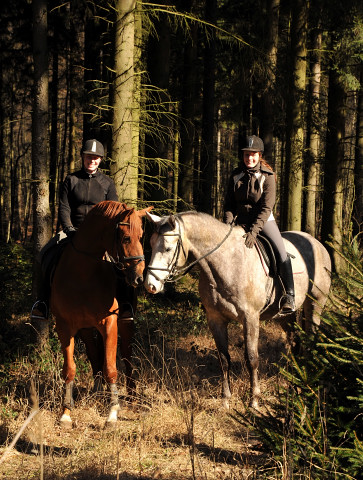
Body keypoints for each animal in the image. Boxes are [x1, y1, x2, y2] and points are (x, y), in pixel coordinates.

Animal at [51, 201, 152, 426]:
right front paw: (65, 412)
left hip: (126, 324)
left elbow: (111, 368)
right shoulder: (65, 327)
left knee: (127, 356)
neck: (83, 274)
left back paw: (131, 396)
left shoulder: (109, 324)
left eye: (141, 236)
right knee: (94, 355)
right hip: (86, 330)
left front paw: (112, 413)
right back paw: (98, 392)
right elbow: (69, 369)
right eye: (126, 238)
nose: (139, 278)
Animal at [144, 213, 332, 408]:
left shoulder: (250, 318)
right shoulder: (215, 319)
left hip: (315, 304)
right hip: (284, 315)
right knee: (295, 342)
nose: (151, 285)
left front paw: (254, 400)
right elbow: (224, 359)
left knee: (311, 339)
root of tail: (317, 243)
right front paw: (225, 399)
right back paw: (297, 381)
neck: (226, 262)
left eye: (167, 248)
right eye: (150, 243)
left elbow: (252, 359)